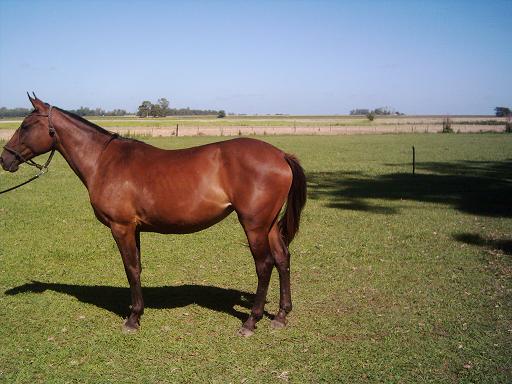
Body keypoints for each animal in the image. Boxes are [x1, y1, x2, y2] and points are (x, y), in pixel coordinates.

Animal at [0, 94, 306, 334]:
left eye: (26, 126)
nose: (5, 159)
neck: (103, 161)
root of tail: (280, 155)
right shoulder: (134, 228)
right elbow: (137, 267)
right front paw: (138, 312)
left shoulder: (121, 227)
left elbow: (131, 268)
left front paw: (132, 319)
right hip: (268, 225)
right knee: (282, 259)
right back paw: (281, 316)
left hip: (254, 225)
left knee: (264, 265)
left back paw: (251, 322)